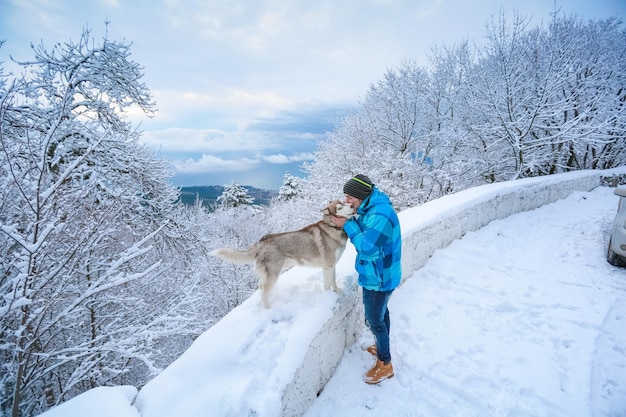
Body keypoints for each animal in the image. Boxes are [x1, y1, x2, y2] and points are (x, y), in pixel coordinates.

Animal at [211, 200, 354, 308]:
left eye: (344, 201)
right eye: (339, 207)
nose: (353, 206)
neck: (334, 227)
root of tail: (261, 241)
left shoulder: (332, 265)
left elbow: (333, 281)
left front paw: (337, 291)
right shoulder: (327, 266)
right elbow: (327, 285)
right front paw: (328, 297)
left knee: (260, 286)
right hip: (273, 274)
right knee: (264, 290)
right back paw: (268, 309)